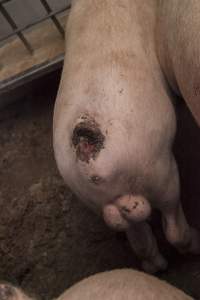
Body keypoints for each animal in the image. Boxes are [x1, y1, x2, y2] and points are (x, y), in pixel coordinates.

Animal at [53, 0, 200, 274]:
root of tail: (91, 162)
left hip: (93, 199)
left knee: (139, 240)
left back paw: (155, 267)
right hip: (159, 172)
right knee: (173, 226)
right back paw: (196, 244)